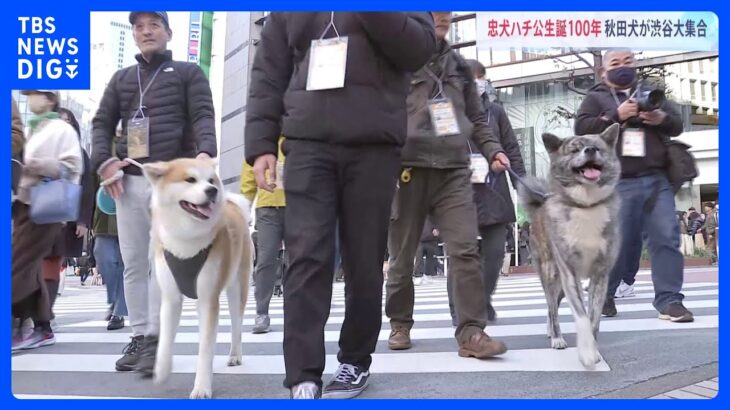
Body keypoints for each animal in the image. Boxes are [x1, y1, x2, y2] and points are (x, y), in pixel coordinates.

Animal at [516, 123, 620, 370]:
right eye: (574, 150)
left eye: (598, 148)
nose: (590, 150)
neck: (586, 205)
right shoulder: (569, 272)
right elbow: (581, 317)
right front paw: (586, 353)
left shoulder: (600, 274)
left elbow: (593, 318)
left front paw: (594, 349)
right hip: (550, 273)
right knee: (551, 306)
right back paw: (556, 337)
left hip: (561, 286)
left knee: (552, 304)